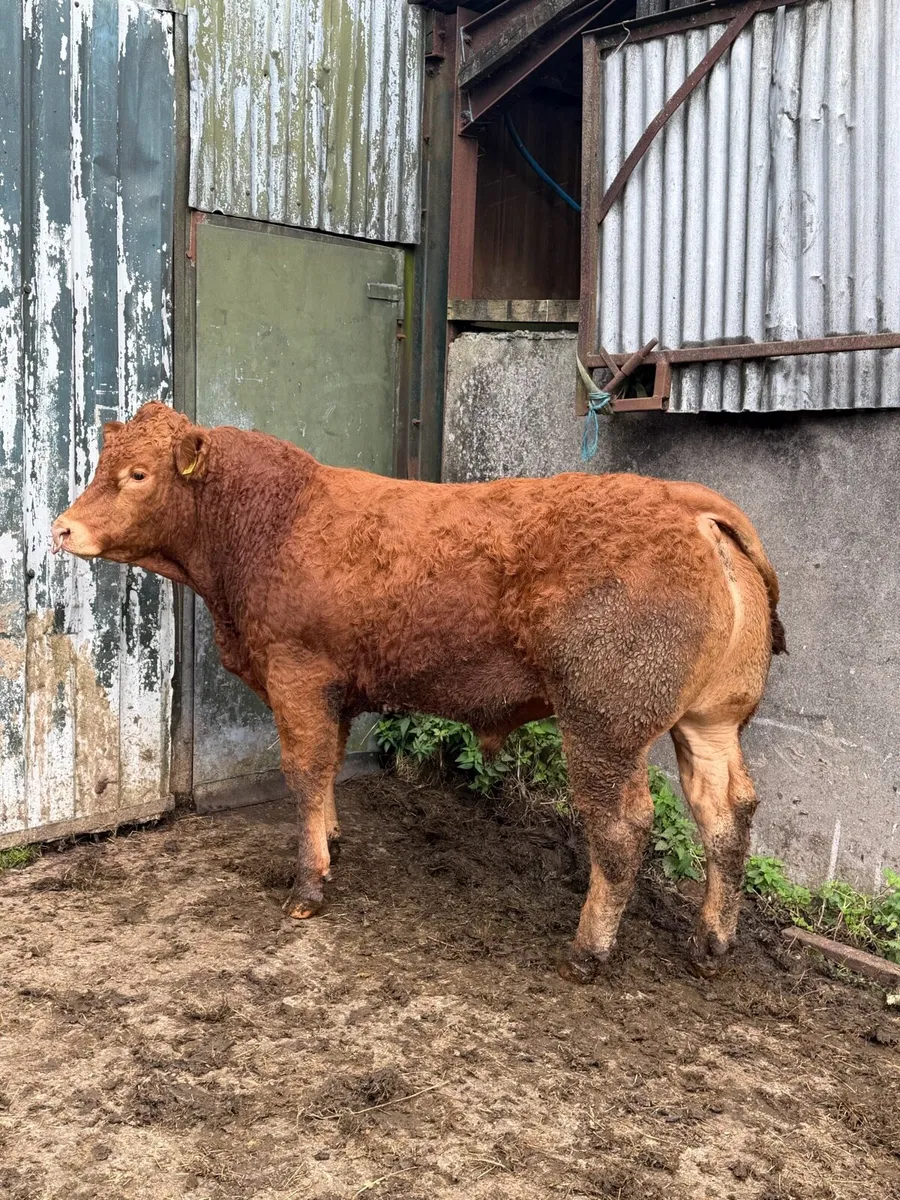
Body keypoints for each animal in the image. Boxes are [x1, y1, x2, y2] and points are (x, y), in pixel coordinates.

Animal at [52, 403, 785, 981]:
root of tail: (687, 504)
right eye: (102, 461)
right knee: (726, 812)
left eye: (137, 475)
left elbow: (304, 770)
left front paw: (309, 884)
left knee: (624, 827)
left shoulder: (296, 672)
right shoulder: (335, 686)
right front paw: (334, 841)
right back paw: (711, 941)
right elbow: (327, 770)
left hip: (603, 722)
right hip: (710, 718)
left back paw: (588, 951)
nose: (61, 527)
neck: (274, 524)